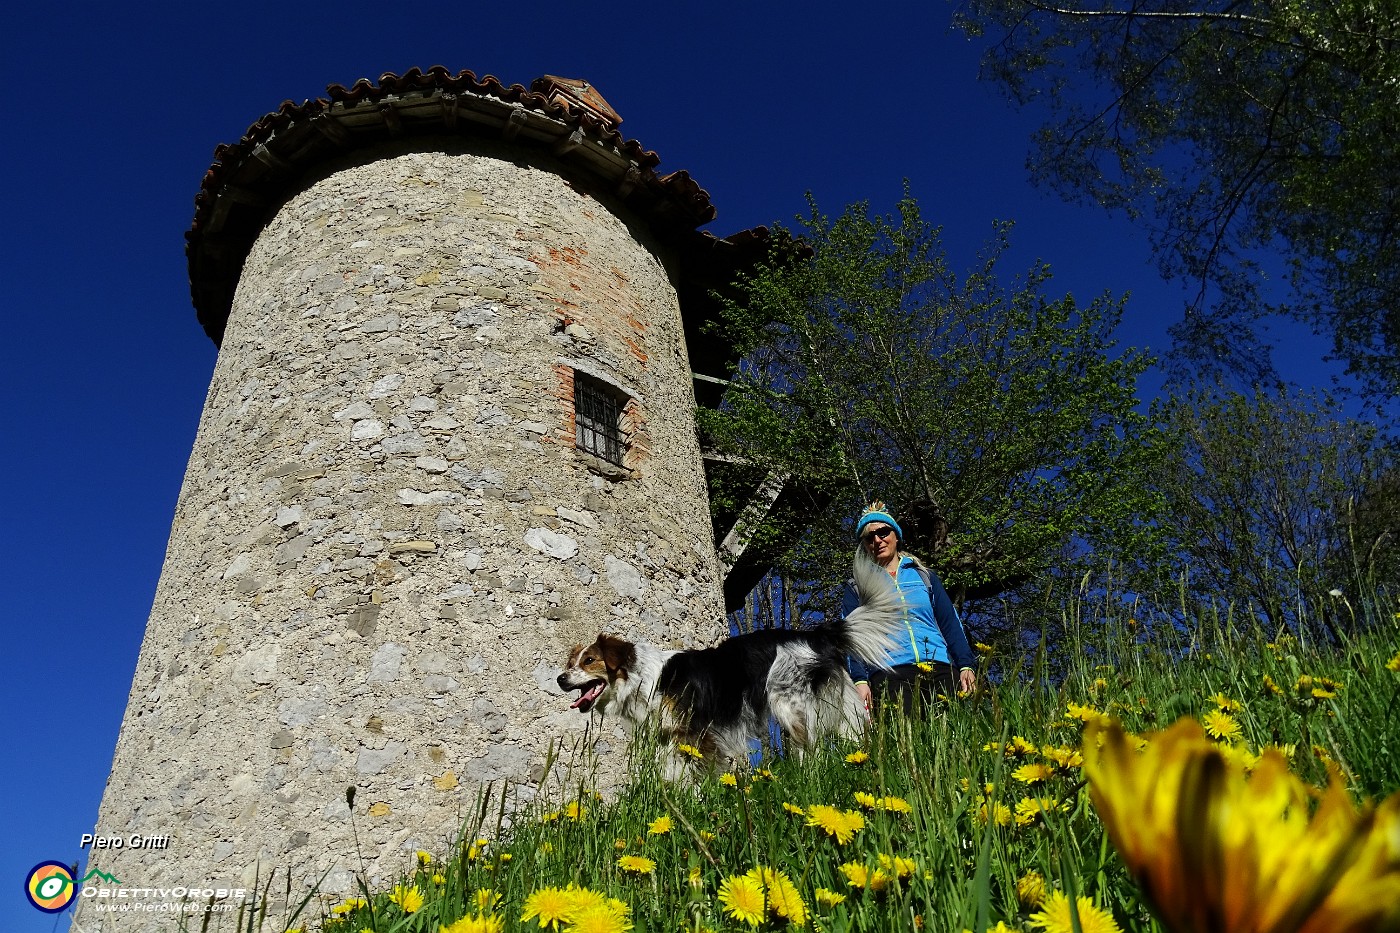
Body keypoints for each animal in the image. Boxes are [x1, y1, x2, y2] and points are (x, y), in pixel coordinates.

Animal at [551, 549, 901, 767]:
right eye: (572, 662)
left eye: (589, 661)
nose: (560, 679)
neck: (642, 679)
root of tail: (816, 634)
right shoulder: (671, 738)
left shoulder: (697, 734)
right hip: (840, 707)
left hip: (790, 705)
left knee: (811, 749)